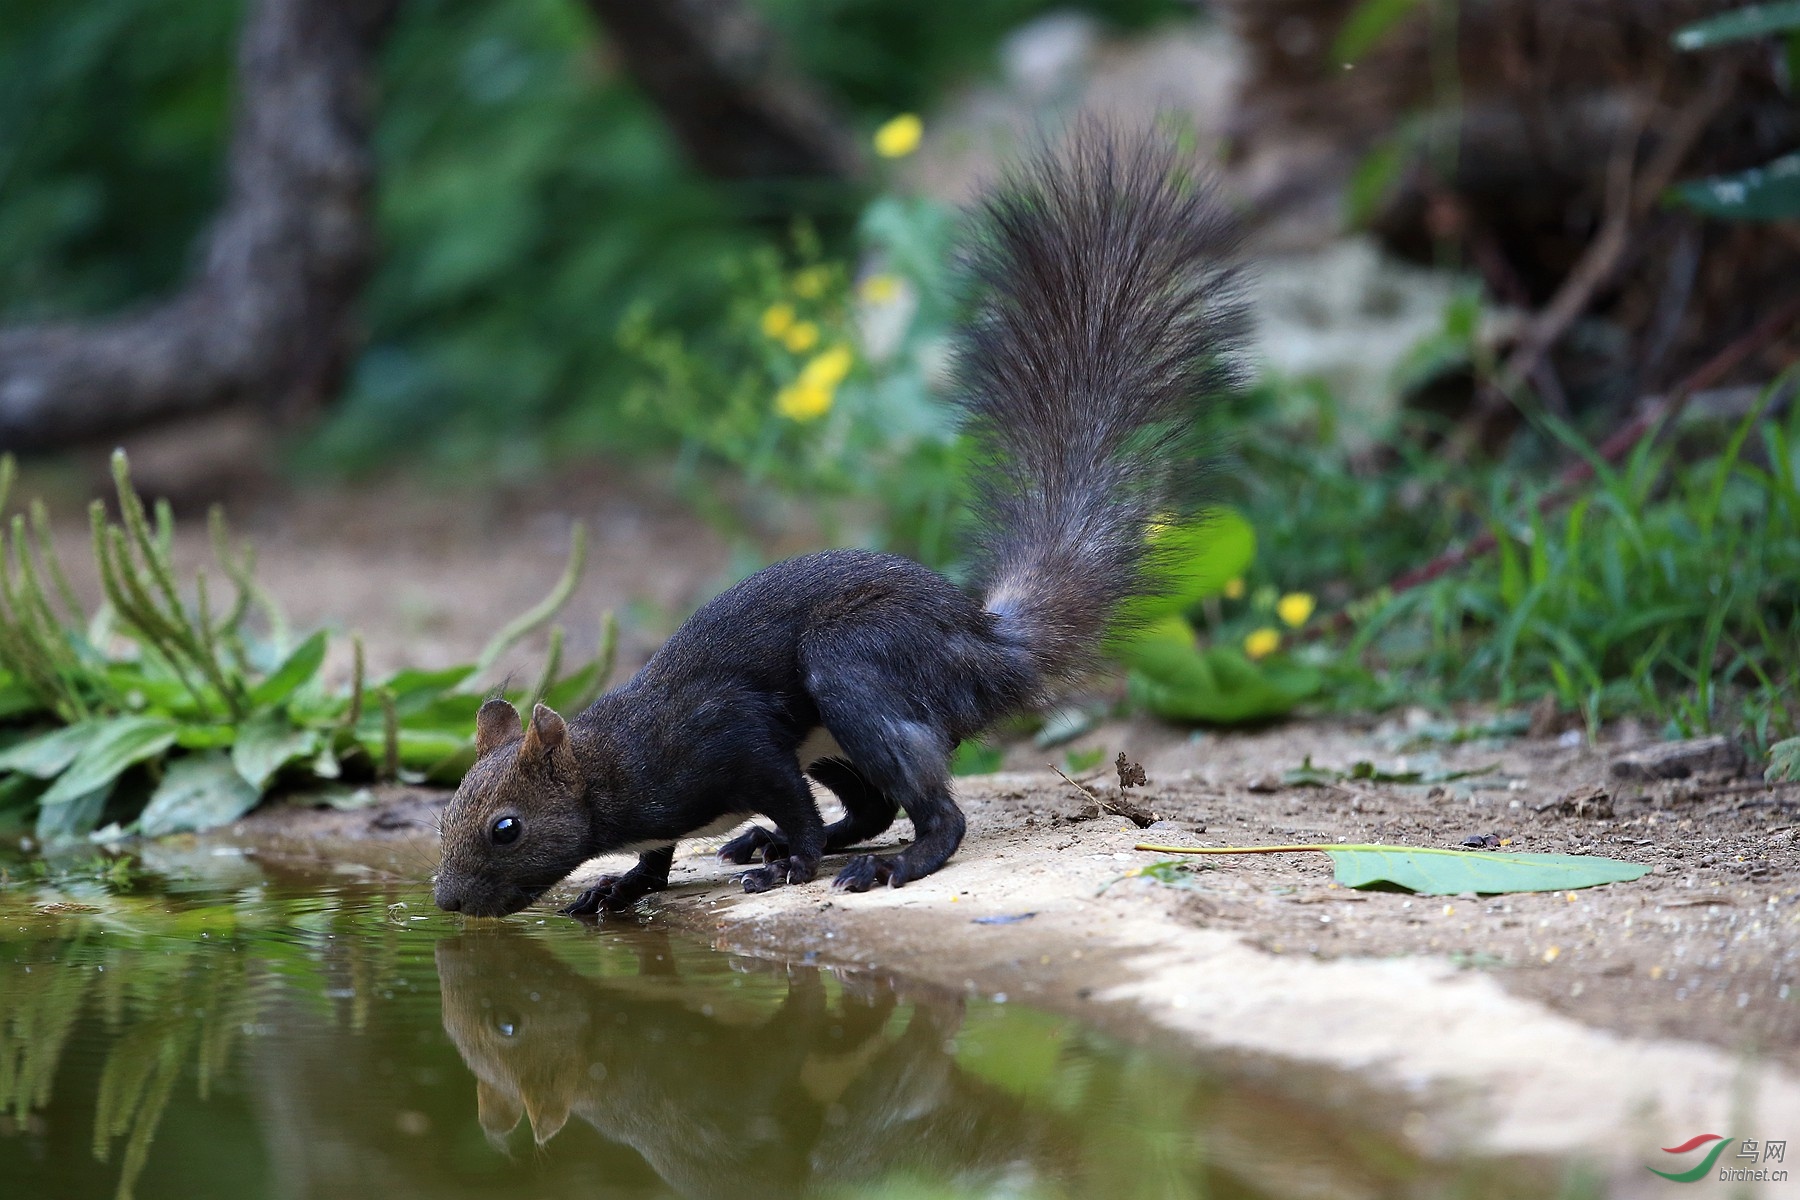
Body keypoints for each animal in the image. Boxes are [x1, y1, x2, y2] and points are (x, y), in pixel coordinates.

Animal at [430, 129, 1245, 921]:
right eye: (443, 815)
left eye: (507, 827)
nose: (447, 899)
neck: (621, 759)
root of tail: (991, 650)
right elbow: (661, 857)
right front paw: (621, 886)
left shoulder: (737, 740)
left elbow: (792, 806)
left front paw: (788, 864)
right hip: (836, 735)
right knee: (874, 806)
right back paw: (774, 842)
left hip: (855, 664)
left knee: (934, 813)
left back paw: (880, 864)